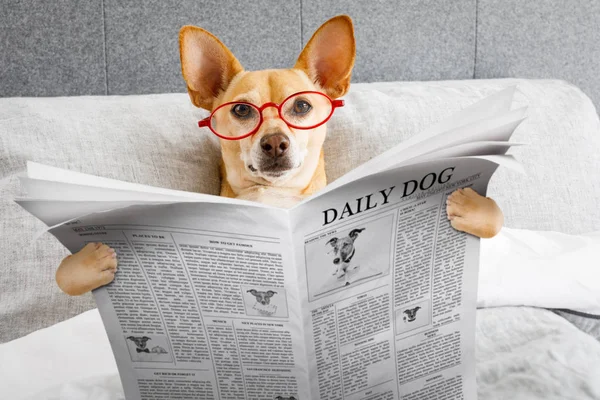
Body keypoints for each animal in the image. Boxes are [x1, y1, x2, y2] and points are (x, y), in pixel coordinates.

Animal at [56, 14, 504, 296]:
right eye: (241, 110)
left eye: (302, 106)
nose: (274, 143)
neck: (277, 198)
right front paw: (89, 264)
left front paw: (471, 208)